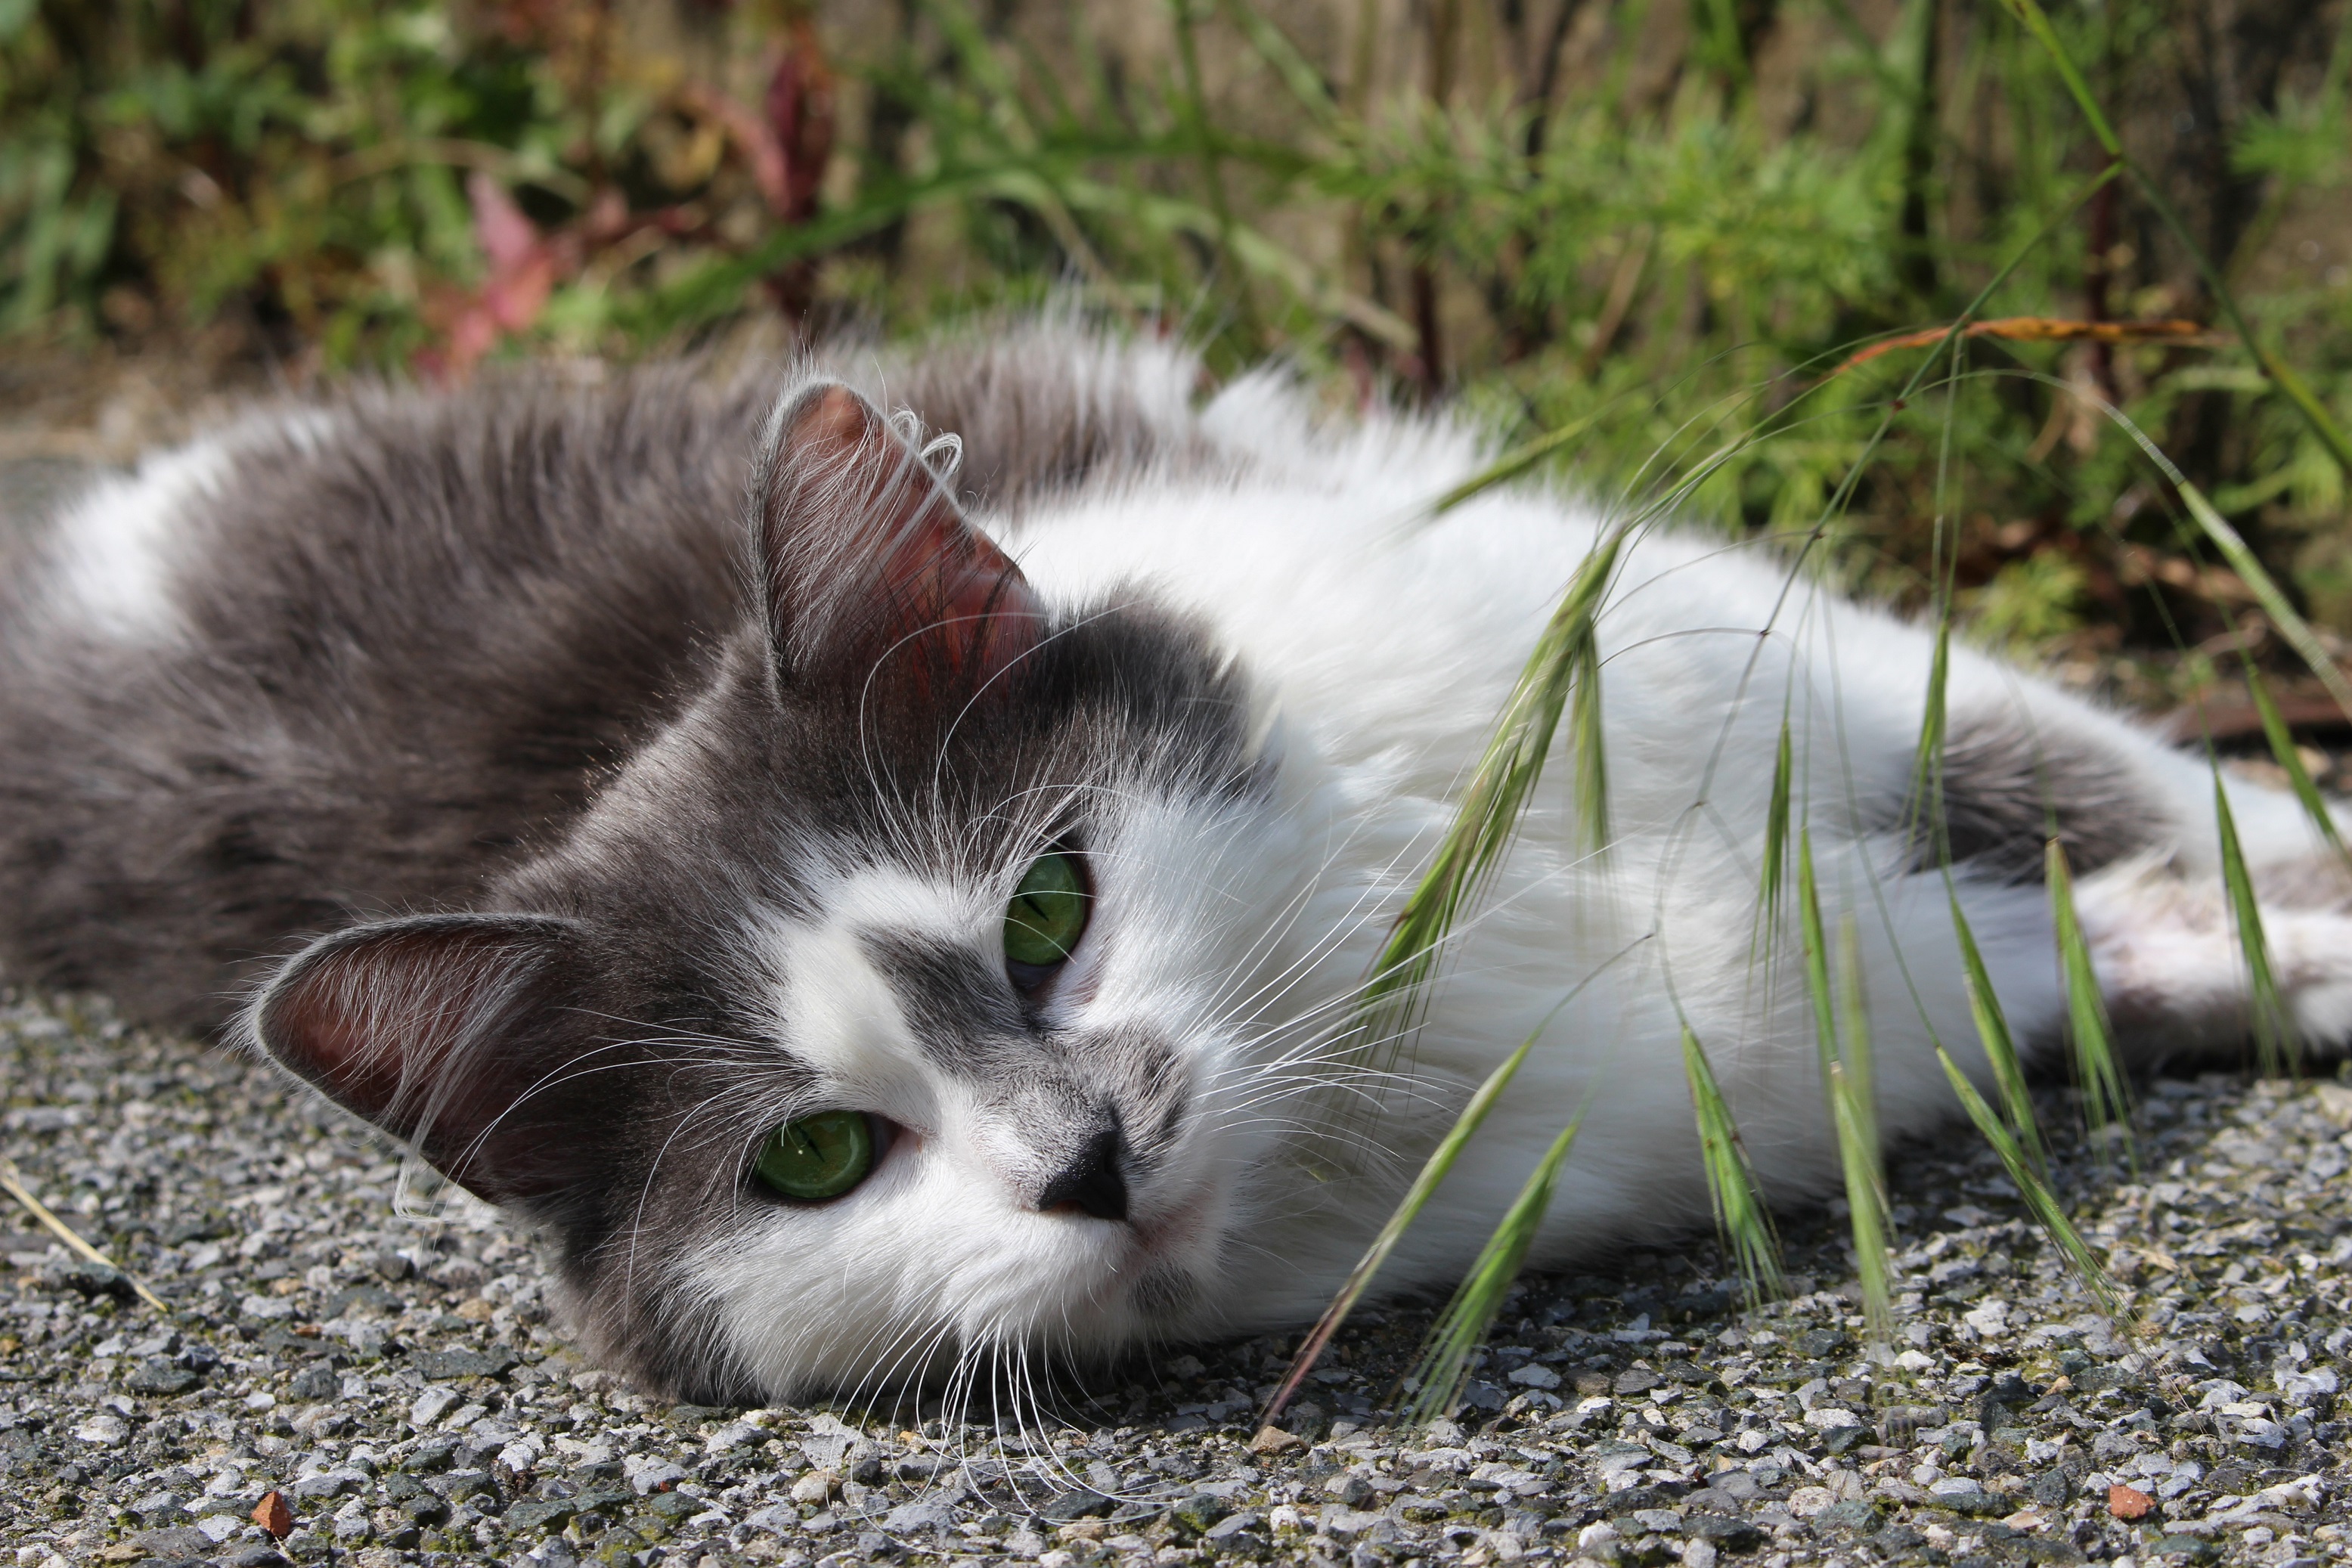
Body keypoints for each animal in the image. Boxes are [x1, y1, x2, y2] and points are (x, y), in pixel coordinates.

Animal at [5, 324, 2352, 1401]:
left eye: (1050, 911)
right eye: (810, 1161)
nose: (1086, 1160)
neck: (1419, 965)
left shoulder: (1771, 665)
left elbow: (2158, 796)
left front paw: (2300, 887)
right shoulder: (1822, 1007)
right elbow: (2075, 950)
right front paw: (2261, 962)